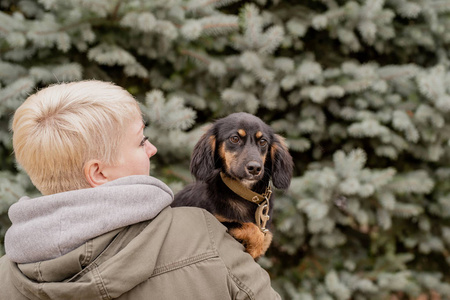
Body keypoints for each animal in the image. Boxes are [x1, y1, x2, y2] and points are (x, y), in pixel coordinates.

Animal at [171, 112, 294, 258]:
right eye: (235, 138)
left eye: (263, 141)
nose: (255, 168)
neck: (243, 193)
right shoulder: (213, 222)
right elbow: (251, 228)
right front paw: (255, 245)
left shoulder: (267, 233)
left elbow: (262, 234)